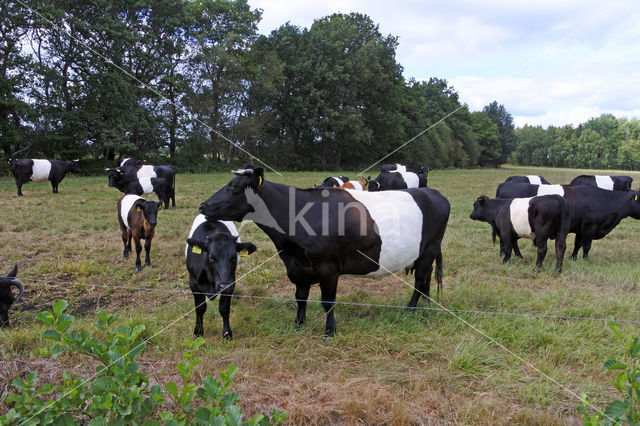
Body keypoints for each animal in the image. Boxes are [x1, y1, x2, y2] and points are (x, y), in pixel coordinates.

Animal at [200, 166, 450, 336]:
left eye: (233, 187)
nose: (203, 205)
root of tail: (434, 193)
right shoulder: (297, 265)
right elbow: (300, 297)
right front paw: (298, 323)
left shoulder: (328, 266)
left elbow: (328, 300)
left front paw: (330, 330)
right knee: (426, 279)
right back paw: (426, 306)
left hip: (429, 249)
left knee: (420, 279)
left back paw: (410, 309)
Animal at [490, 181, 640, 260]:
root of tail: (507, 183)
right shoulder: (589, 226)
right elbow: (587, 246)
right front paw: (585, 260)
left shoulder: (580, 228)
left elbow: (578, 244)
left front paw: (573, 258)